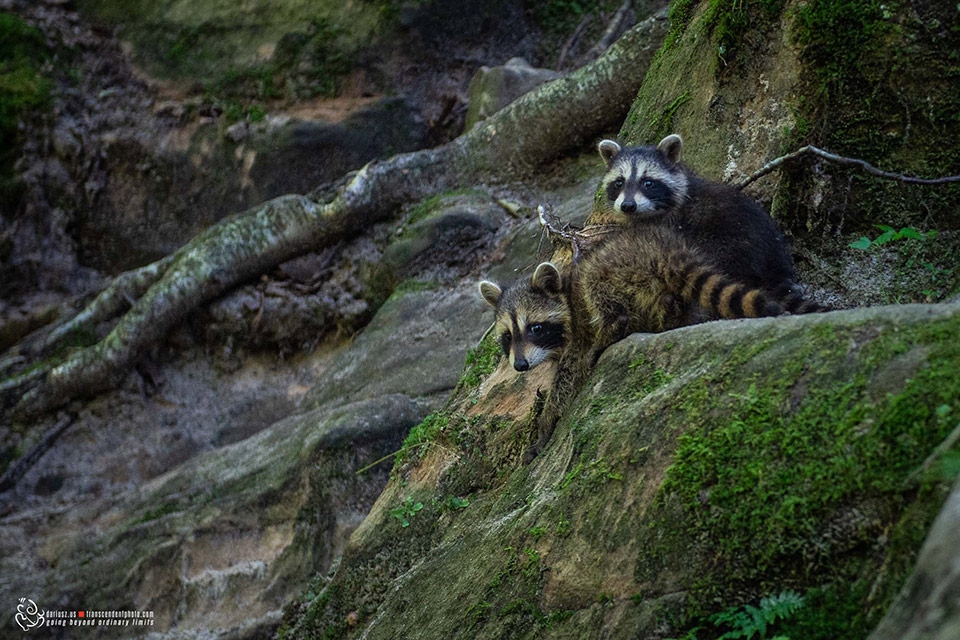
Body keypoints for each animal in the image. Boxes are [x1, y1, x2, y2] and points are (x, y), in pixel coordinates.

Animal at [480, 224, 788, 460]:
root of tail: (662, 250)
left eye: (535, 328)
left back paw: (613, 330)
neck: (565, 296)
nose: (520, 366)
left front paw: (546, 422)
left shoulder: (579, 332)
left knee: (600, 292)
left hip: (616, 270)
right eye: (508, 336)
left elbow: (568, 376)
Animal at [592, 136, 816, 314]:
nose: (628, 206)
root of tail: (771, 263)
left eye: (648, 183)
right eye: (619, 182)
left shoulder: (670, 223)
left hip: (728, 247)